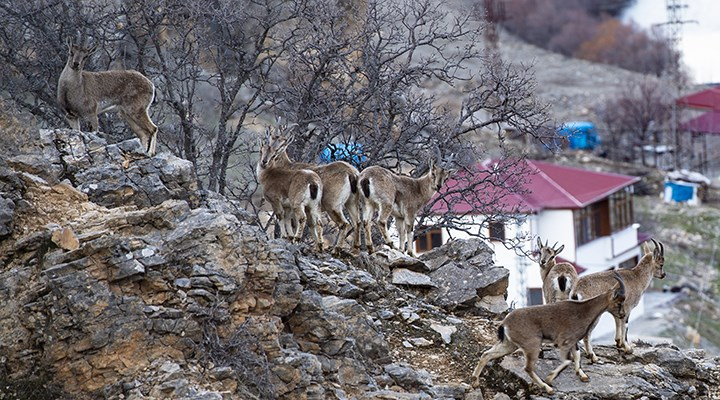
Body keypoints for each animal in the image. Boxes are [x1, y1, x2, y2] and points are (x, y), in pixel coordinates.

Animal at [472, 272, 624, 394]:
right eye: (618, 302)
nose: (622, 315)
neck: (583, 311)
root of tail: (505, 324)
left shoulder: (573, 342)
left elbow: (576, 356)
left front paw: (583, 376)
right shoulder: (564, 342)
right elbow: (567, 360)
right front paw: (550, 378)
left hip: (509, 344)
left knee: (486, 355)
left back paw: (475, 382)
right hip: (532, 345)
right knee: (528, 368)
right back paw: (548, 388)